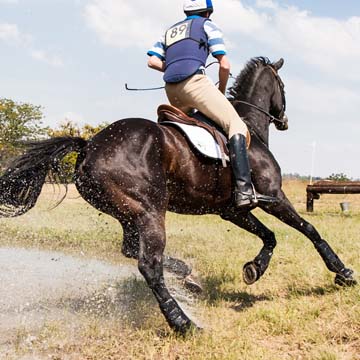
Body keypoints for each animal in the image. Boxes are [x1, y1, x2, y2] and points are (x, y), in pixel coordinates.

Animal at [0, 57, 354, 334]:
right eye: (282, 86)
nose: (285, 121)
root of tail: (89, 146)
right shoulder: (273, 196)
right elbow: (309, 230)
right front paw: (343, 273)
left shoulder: (233, 209)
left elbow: (269, 236)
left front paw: (254, 269)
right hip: (150, 211)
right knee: (148, 265)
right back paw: (184, 323)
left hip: (128, 212)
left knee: (131, 249)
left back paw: (187, 275)